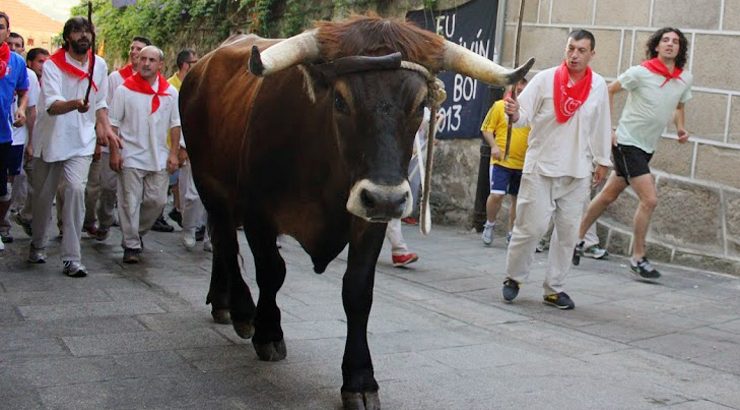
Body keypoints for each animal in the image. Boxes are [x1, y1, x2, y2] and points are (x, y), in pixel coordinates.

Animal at [182, 14, 536, 408]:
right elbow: (272, 272)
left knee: (221, 239)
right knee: (226, 242)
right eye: (339, 100)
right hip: (208, 181)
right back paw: (241, 310)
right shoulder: (259, 211)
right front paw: (268, 332)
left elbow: (358, 291)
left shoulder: (368, 223)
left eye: (420, 105)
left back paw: (221, 301)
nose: (385, 199)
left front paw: (360, 379)